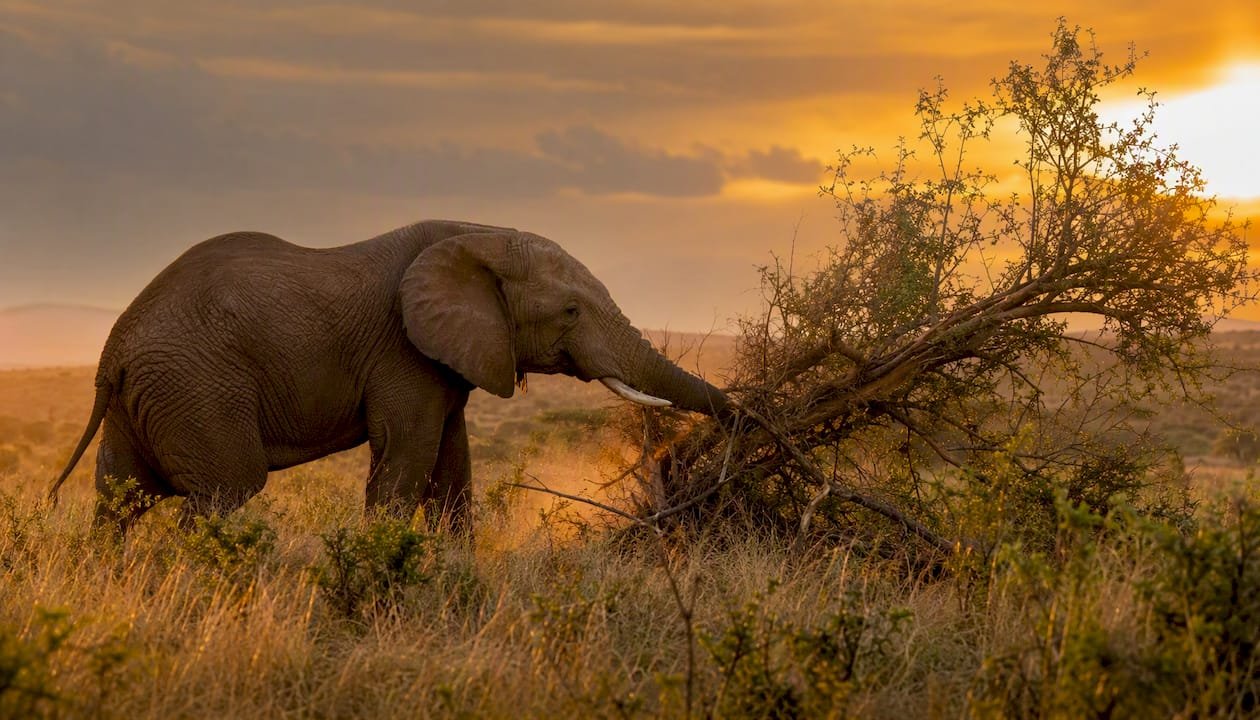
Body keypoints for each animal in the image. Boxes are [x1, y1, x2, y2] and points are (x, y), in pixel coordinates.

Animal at [49, 220, 728, 534]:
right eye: (569, 312)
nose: (745, 421)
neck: (477, 232)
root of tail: (113, 350)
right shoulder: (403, 352)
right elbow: (407, 459)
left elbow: (452, 470)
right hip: (198, 389)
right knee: (223, 491)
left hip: (148, 398)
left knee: (119, 501)